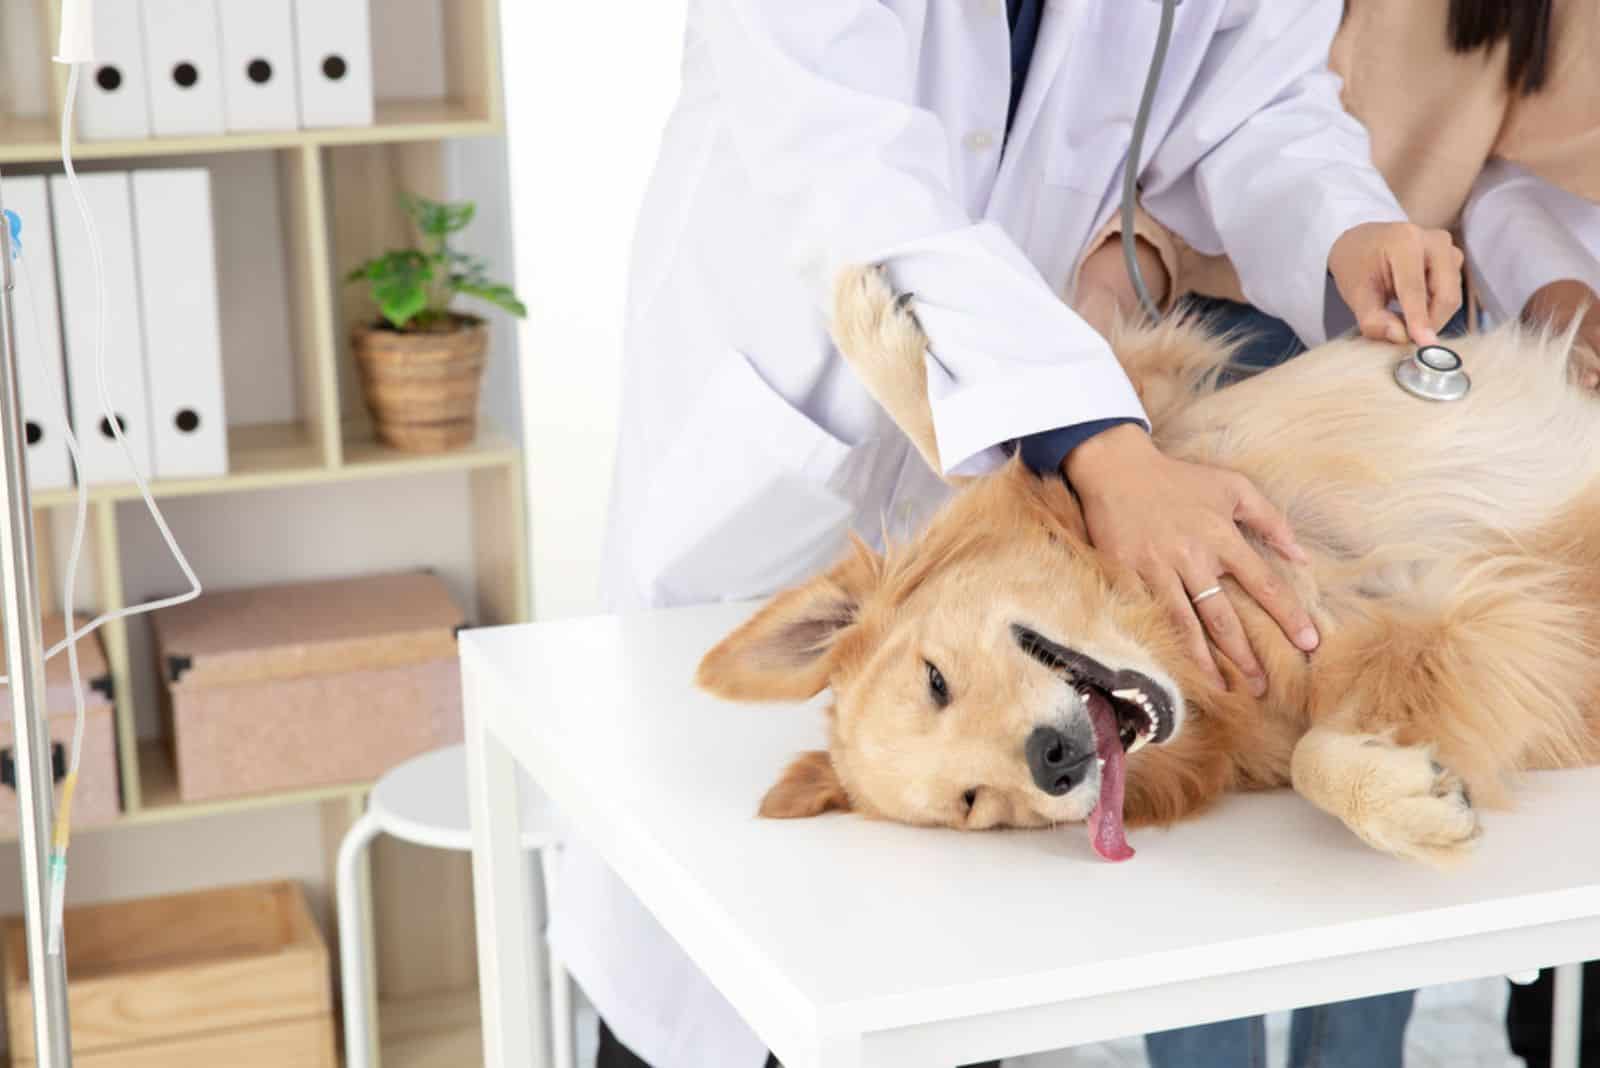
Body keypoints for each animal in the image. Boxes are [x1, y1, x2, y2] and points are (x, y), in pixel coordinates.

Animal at [697, 267, 1600, 869]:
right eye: (976, 806)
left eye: (935, 680)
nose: (1054, 762)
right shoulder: (1496, 654)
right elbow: (1313, 759)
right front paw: (1413, 802)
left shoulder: (1148, 412)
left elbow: (992, 424)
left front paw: (868, 310)